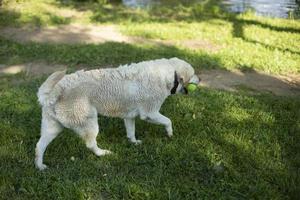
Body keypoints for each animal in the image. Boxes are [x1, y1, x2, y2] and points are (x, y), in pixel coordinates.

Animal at [34, 57, 199, 170]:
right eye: (195, 74)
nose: (201, 78)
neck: (169, 73)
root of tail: (55, 91)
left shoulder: (129, 116)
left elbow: (131, 132)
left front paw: (134, 142)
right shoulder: (150, 113)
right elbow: (168, 121)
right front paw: (170, 134)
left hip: (52, 129)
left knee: (39, 146)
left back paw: (40, 166)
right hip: (90, 124)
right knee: (91, 144)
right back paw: (103, 153)